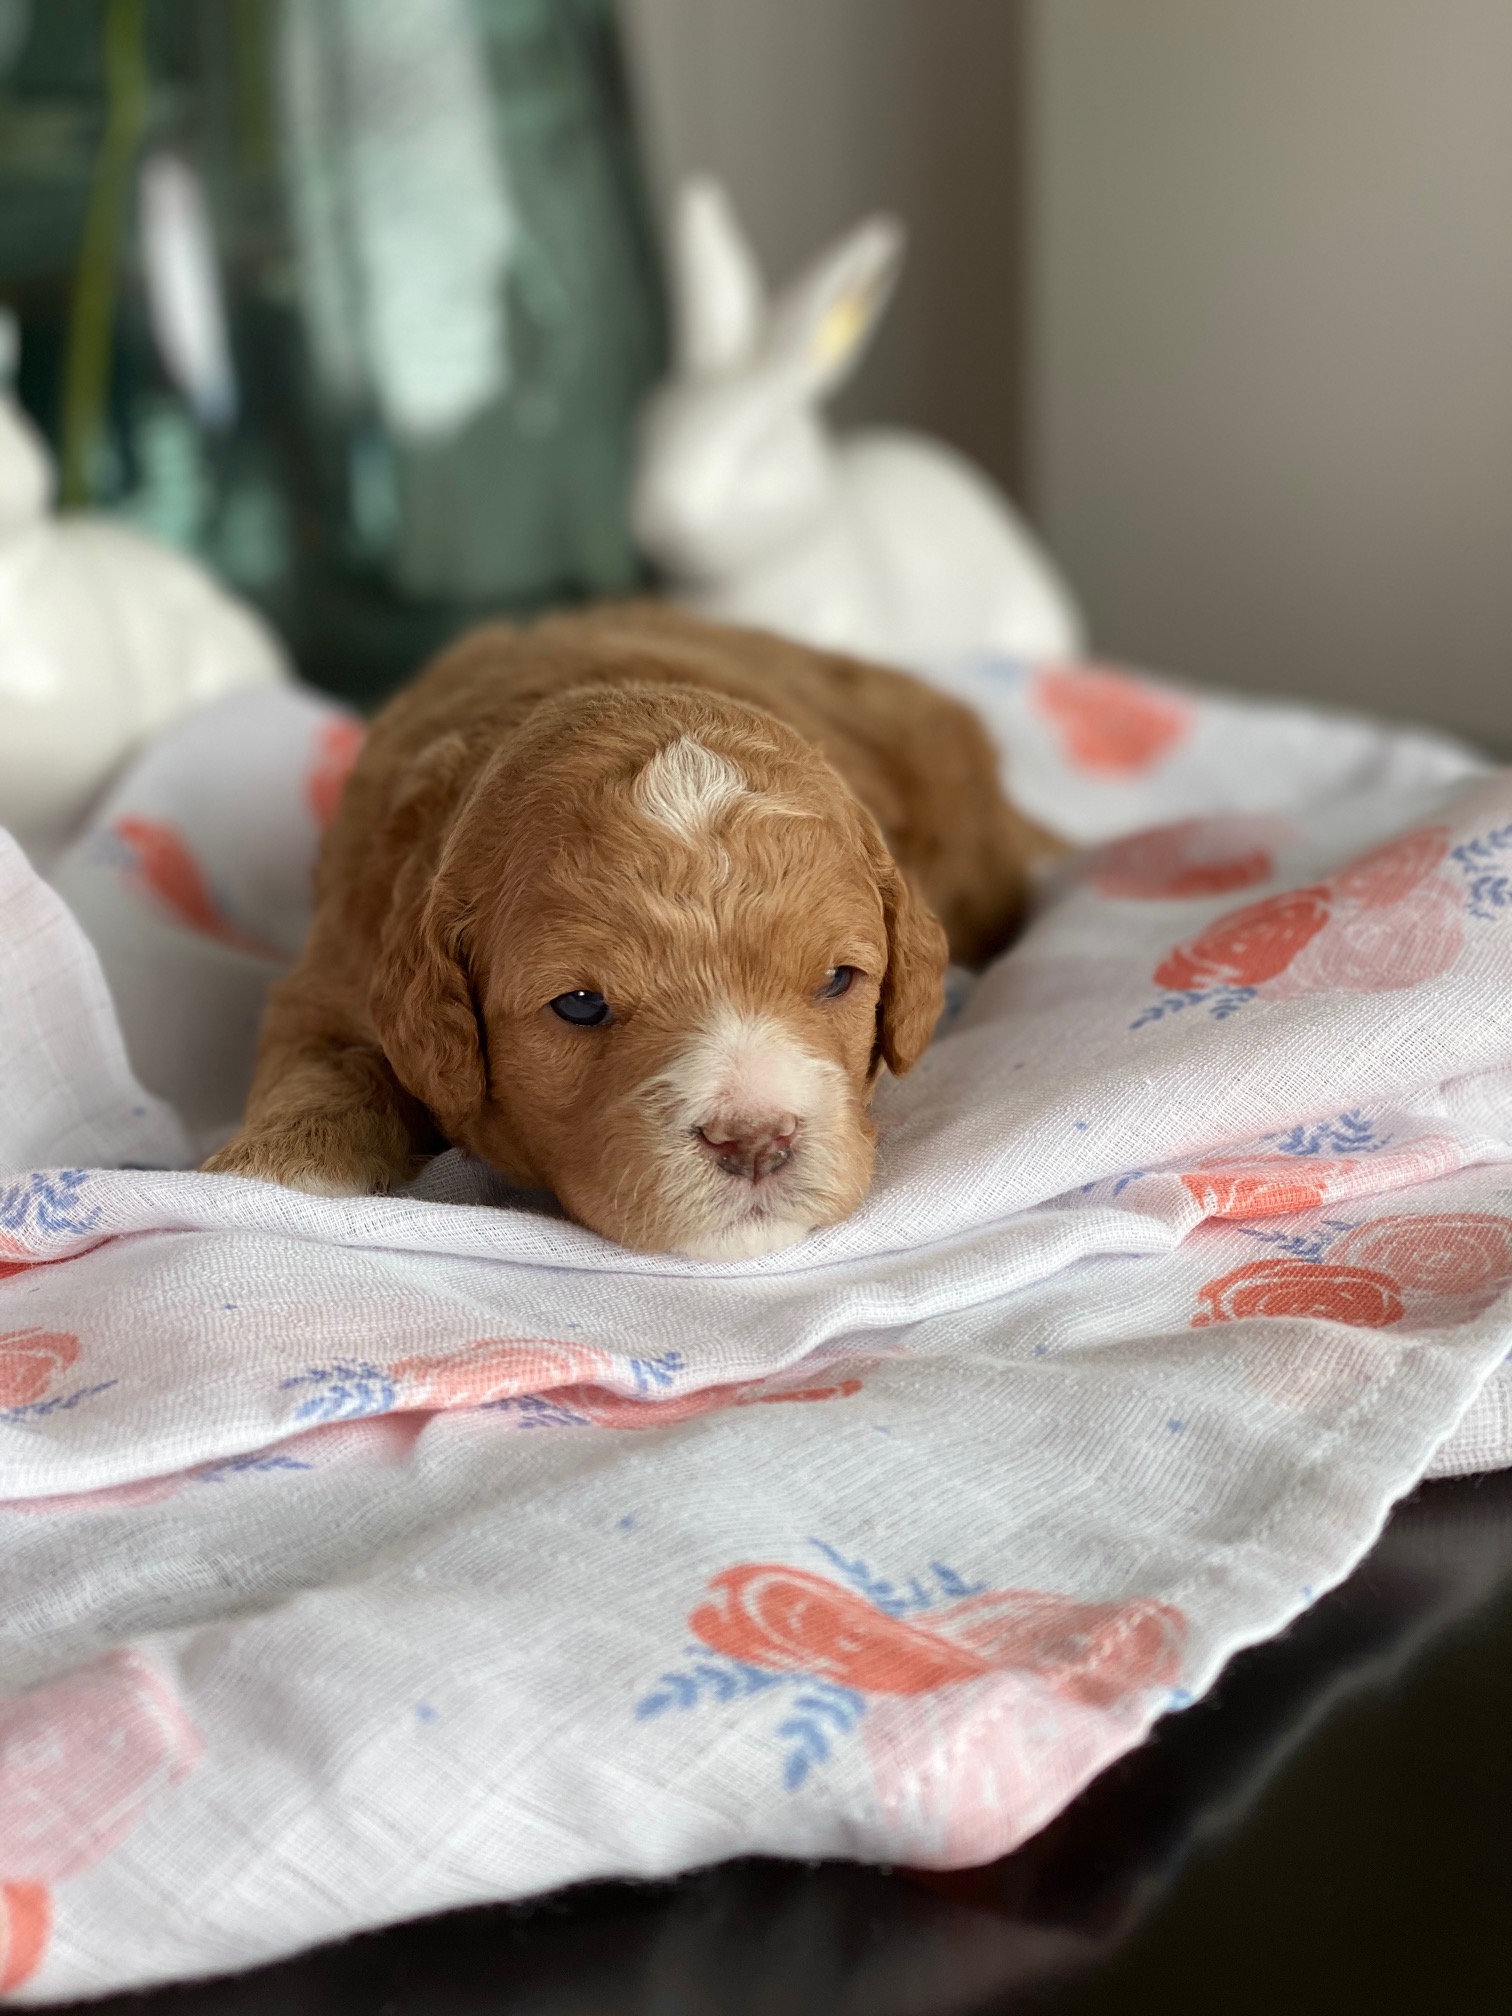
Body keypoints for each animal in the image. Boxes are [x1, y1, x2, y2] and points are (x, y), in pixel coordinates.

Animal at [204, 600, 1056, 1257]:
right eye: (580, 1005)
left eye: (837, 980)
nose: (755, 1140)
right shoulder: (341, 962)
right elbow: (321, 1063)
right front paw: (275, 1174)